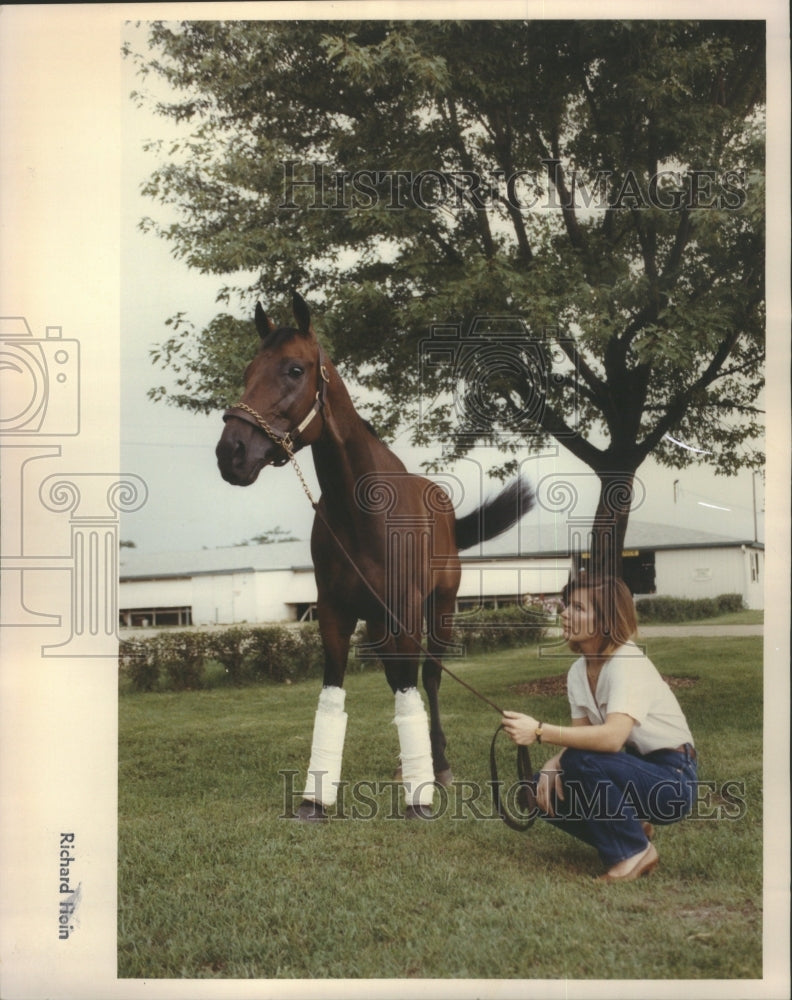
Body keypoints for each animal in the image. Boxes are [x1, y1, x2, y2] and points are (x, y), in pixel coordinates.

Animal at [215, 292, 532, 820]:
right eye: (247, 370)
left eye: (295, 369)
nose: (231, 453)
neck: (361, 510)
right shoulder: (335, 613)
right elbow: (334, 691)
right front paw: (315, 798)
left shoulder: (404, 611)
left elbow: (412, 687)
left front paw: (421, 795)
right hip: (382, 623)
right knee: (397, 676)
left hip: (439, 610)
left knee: (427, 678)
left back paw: (436, 766)